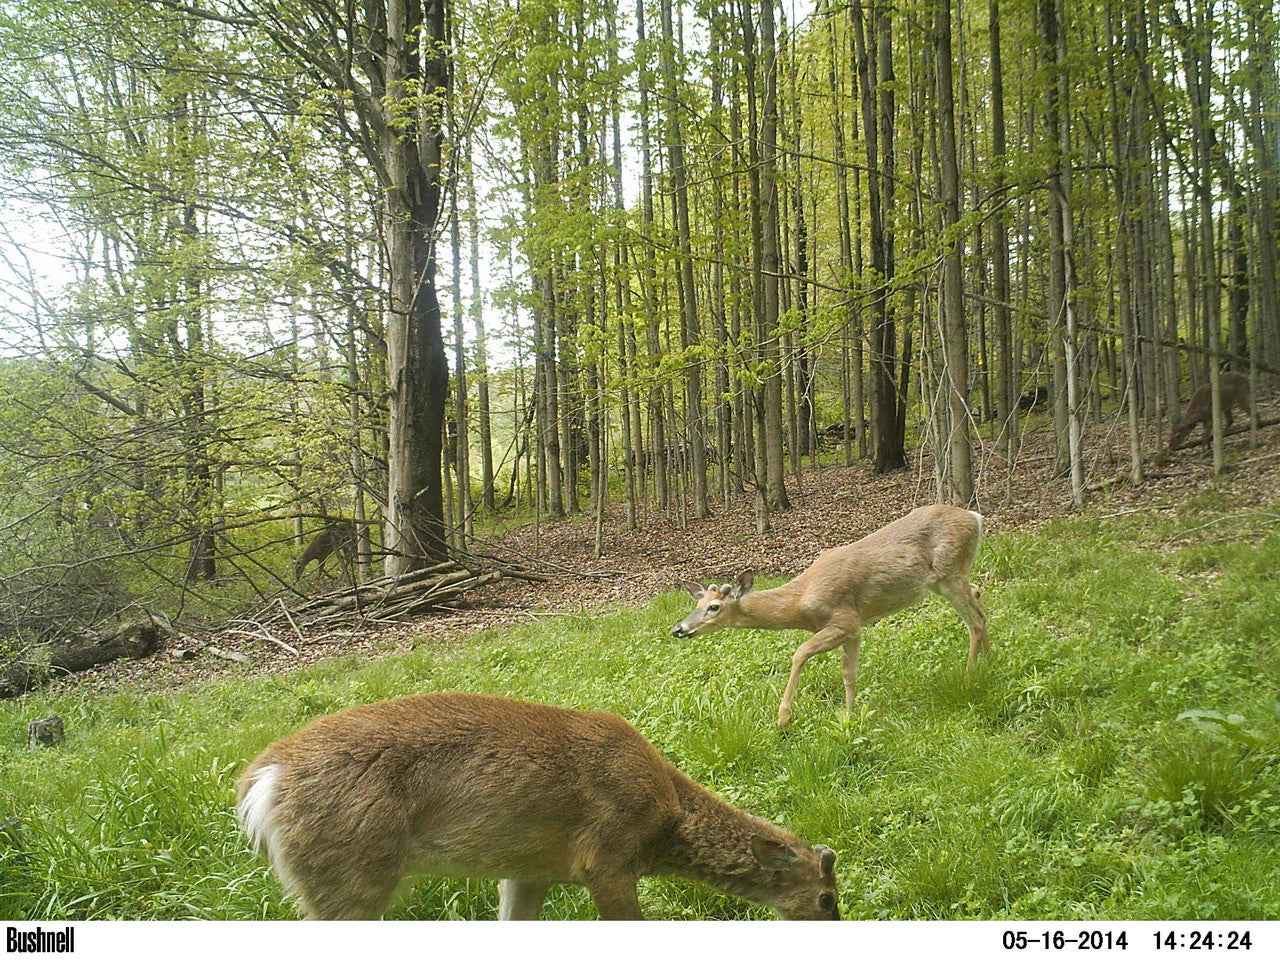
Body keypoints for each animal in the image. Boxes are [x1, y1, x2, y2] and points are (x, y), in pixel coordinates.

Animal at [239, 696, 839, 921]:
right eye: (828, 898)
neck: (664, 816)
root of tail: (260, 783)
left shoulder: (530, 869)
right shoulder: (606, 858)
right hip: (349, 873)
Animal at [670, 504, 988, 727]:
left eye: (714, 607)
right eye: (697, 603)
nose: (679, 628)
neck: (801, 603)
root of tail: (975, 517)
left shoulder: (844, 620)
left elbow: (801, 653)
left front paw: (783, 719)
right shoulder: (853, 626)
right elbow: (849, 673)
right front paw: (849, 715)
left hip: (950, 571)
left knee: (974, 620)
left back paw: (970, 676)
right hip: (946, 579)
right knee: (980, 601)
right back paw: (991, 661)